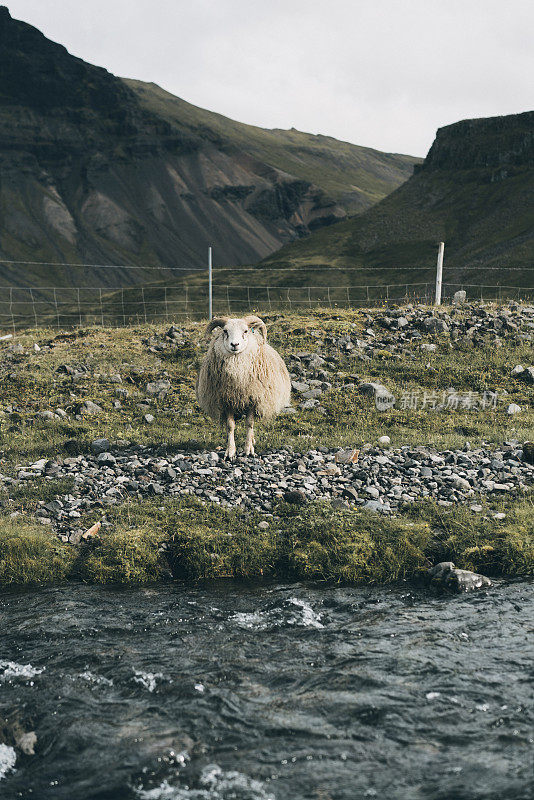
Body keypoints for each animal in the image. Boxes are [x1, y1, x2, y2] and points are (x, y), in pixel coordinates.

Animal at [197, 316, 292, 460]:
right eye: (225, 331)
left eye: (246, 331)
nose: (234, 345)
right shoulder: (226, 400)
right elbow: (230, 426)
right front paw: (230, 452)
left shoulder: (253, 399)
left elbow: (249, 424)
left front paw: (248, 450)